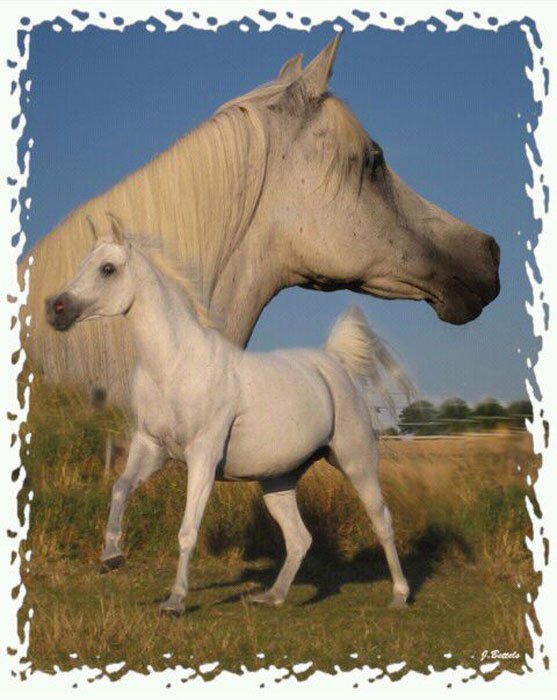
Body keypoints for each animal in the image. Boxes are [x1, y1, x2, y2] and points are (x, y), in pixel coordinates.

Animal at [46, 214, 415, 615]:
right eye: (83, 263)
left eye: (108, 269)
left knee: (382, 522)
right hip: (278, 481)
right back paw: (271, 597)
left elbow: (187, 531)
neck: (175, 365)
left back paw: (399, 595)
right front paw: (111, 557)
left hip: (355, 461)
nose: (56, 309)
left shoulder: (202, 457)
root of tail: (334, 362)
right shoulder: (151, 448)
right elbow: (119, 488)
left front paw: (175, 601)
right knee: (299, 538)